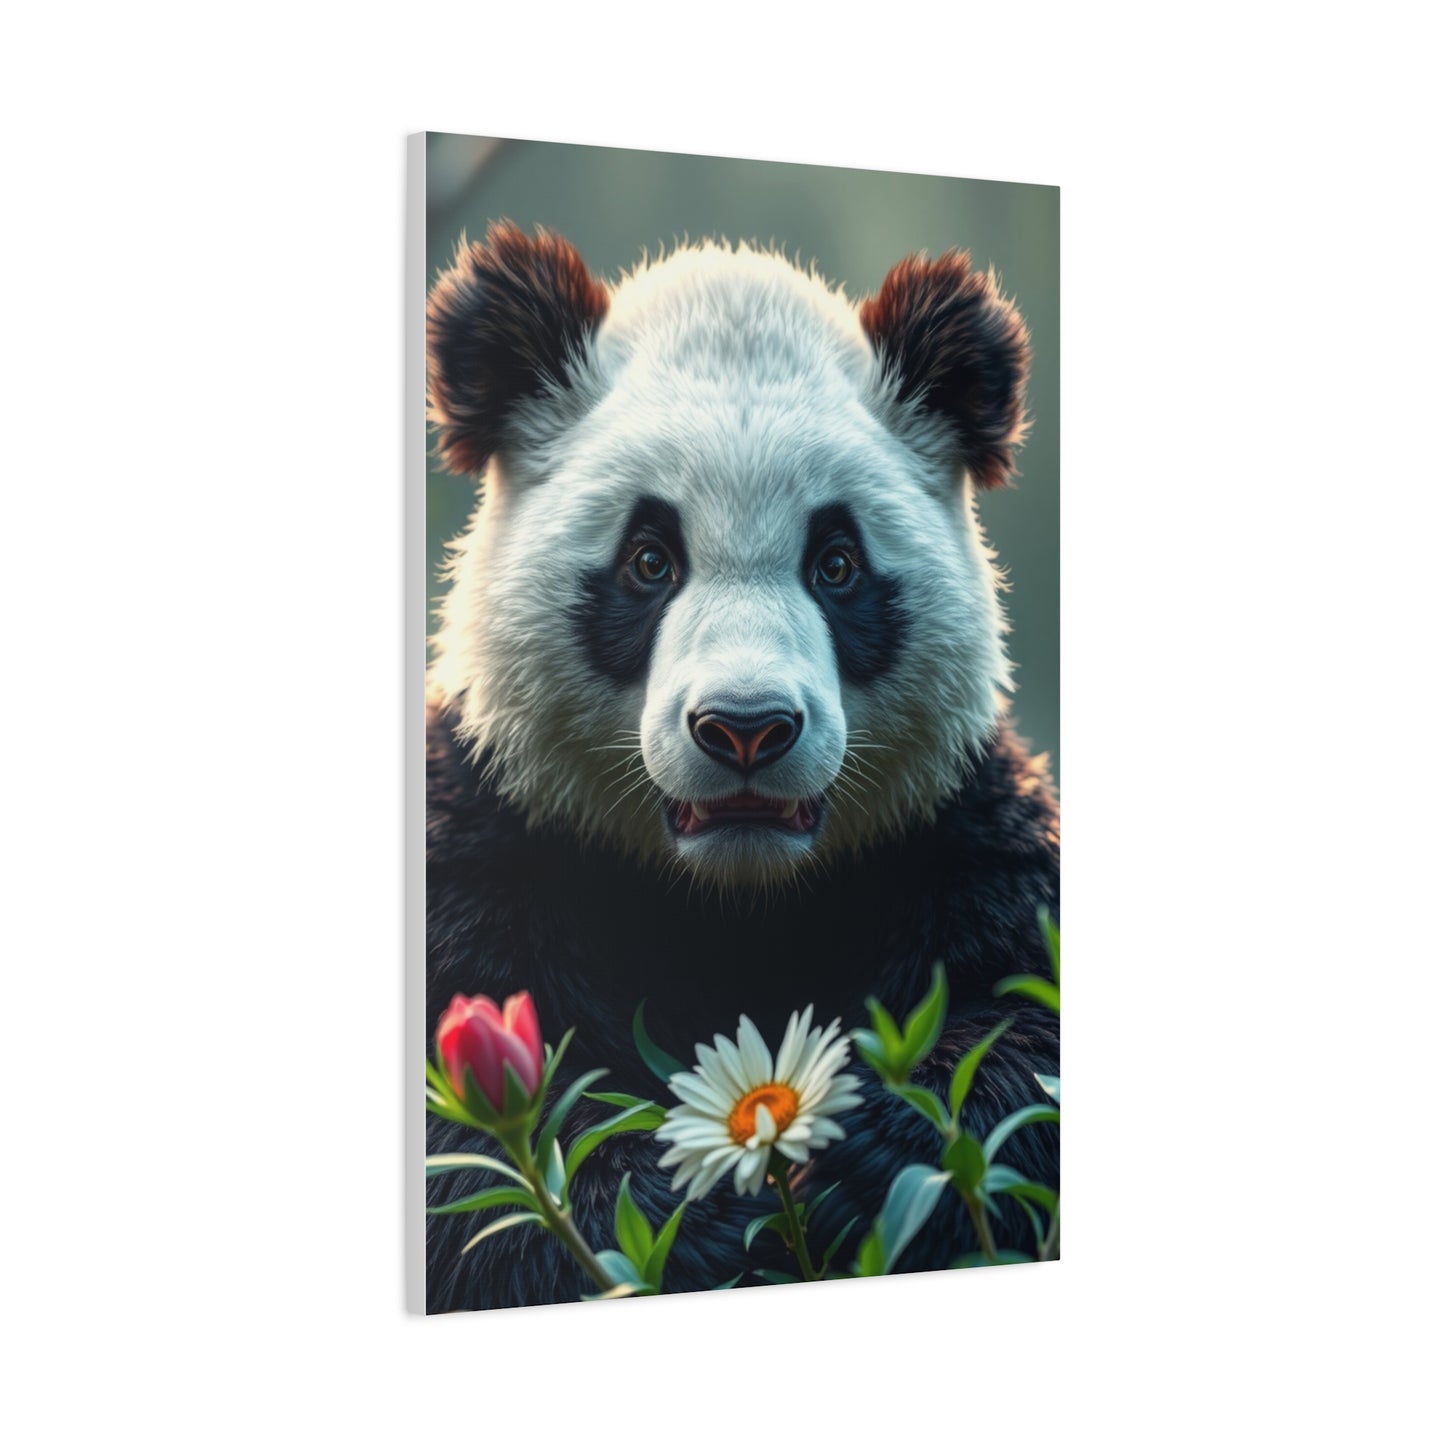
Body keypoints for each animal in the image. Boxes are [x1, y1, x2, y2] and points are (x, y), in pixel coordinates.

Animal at [425, 222, 1059, 1311]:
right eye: (648, 560)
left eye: (836, 564)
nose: (746, 728)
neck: (732, 899)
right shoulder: (490, 833)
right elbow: (469, 1164)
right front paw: (684, 1210)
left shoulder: (952, 828)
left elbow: (1025, 1027)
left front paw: (870, 1159)